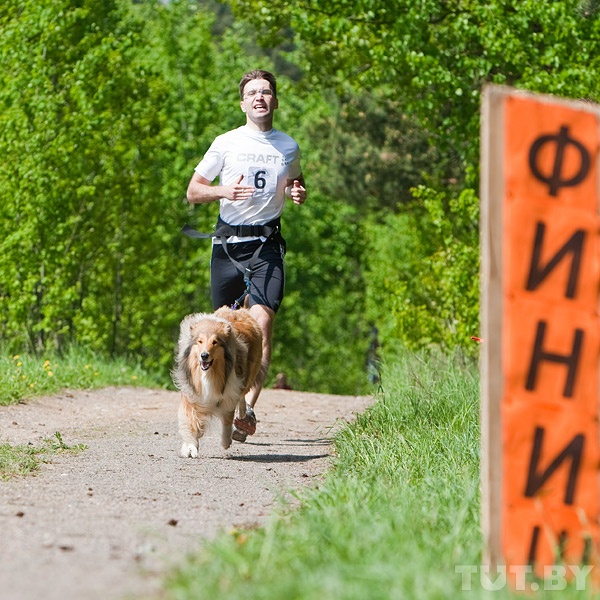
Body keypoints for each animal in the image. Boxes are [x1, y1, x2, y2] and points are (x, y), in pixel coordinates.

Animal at [170, 308, 262, 458]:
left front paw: (226, 442)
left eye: (215, 342)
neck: (209, 374)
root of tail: (239, 310)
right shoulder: (192, 395)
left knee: (243, 394)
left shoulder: (229, 393)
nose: (204, 356)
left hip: (248, 373)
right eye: (200, 341)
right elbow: (190, 421)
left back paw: (243, 413)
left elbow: (227, 421)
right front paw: (190, 447)